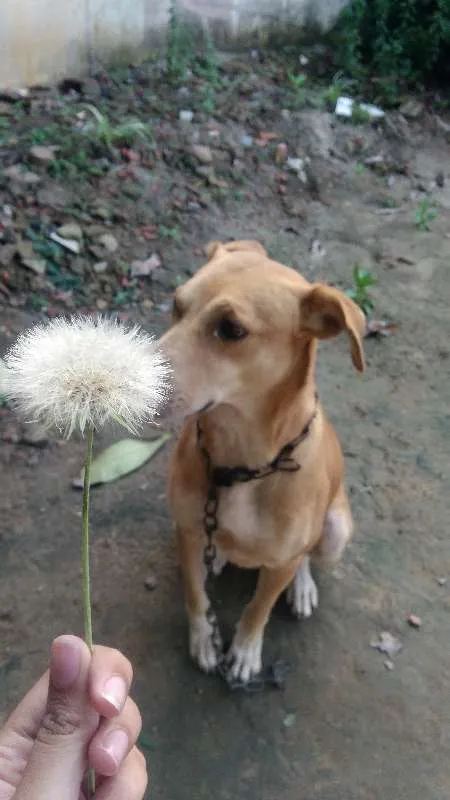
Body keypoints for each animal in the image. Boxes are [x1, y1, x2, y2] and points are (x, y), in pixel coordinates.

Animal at [160, 242, 364, 680]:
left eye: (231, 329)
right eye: (176, 304)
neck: (241, 465)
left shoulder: (281, 562)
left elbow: (258, 608)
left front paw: (244, 651)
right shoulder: (186, 532)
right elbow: (195, 594)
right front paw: (204, 640)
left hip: (334, 531)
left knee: (305, 556)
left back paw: (301, 586)